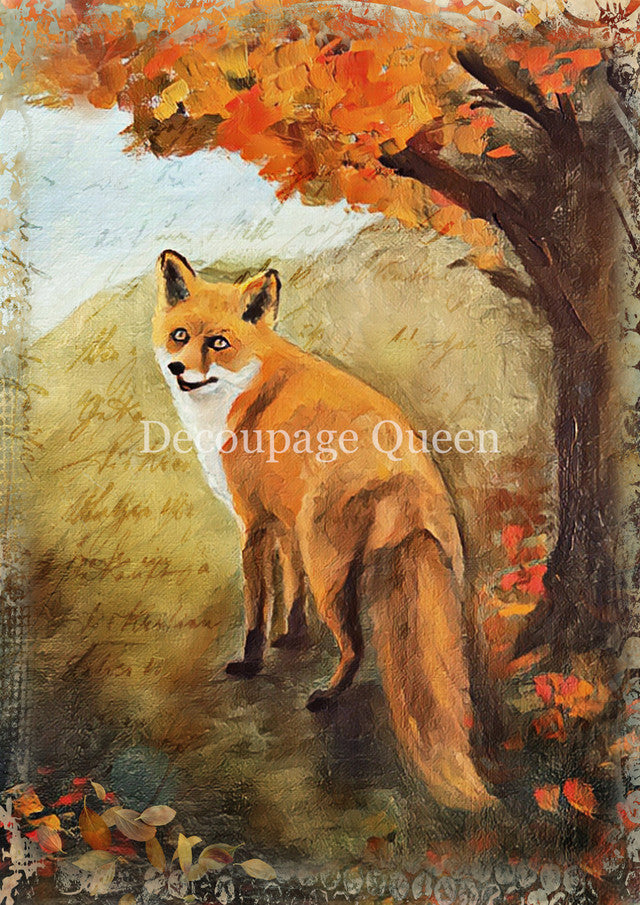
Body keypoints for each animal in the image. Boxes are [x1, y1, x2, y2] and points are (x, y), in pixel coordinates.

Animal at [153, 249, 494, 811]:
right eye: (180, 335)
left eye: (218, 342)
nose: (180, 369)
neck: (241, 395)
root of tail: (410, 477)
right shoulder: (285, 525)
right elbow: (291, 595)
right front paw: (292, 637)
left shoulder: (253, 526)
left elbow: (256, 608)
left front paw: (251, 661)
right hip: (418, 570)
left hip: (329, 567)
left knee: (356, 643)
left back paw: (327, 697)